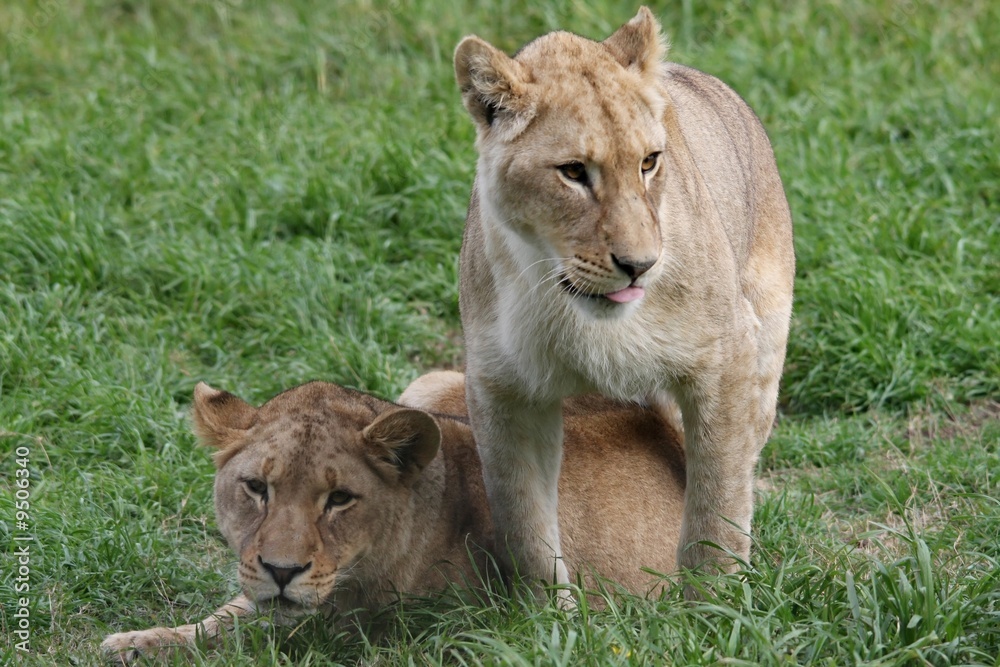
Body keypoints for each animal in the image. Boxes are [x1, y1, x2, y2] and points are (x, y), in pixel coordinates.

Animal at [101, 371, 686, 661]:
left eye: (339, 499)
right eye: (257, 488)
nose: (282, 571)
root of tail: (652, 419)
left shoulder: (442, 633)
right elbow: (224, 616)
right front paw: (140, 642)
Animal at [454, 6, 794, 590]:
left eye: (649, 162)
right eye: (573, 172)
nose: (640, 264)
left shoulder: (727, 359)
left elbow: (717, 499)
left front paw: (715, 601)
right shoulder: (503, 388)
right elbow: (525, 524)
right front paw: (547, 613)